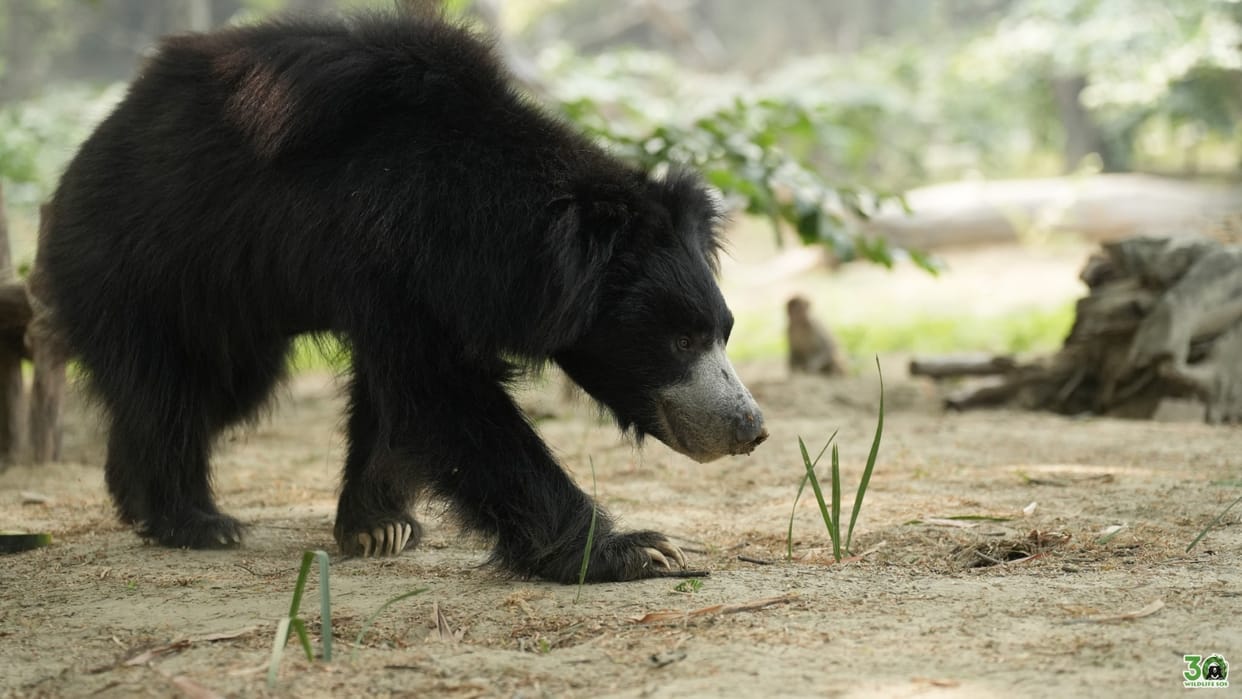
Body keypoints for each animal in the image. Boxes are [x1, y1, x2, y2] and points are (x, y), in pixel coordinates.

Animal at [39, 12, 768, 583]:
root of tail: (76, 166)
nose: (750, 428)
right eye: (679, 338)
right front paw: (638, 549)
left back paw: (137, 500)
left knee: (211, 393)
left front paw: (377, 526)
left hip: (230, 315)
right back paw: (195, 520)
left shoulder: (412, 282)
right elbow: (441, 396)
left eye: (724, 330)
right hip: (145, 270)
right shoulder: (387, 254)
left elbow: (392, 401)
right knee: (169, 391)